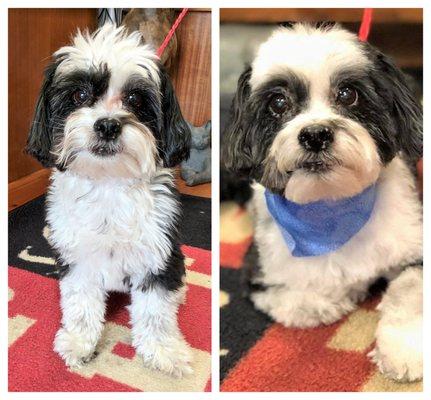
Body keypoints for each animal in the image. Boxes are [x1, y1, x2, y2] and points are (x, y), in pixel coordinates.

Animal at [27, 25, 193, 378]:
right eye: (79, 96)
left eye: (134, 99)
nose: (107, 124)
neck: (109, 184)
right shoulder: (79, 259)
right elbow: (81, 305)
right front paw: (79, 343)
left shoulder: (157, 255)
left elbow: (156, 312)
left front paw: (165, 351)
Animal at [224, 22, 424, 382]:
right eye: (278, 103)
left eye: (348, 94)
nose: (315, 134)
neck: (331, 208)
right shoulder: (262, 271)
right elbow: (305, 298)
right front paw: (336, 294)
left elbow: (410, 290)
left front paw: (404, 349)